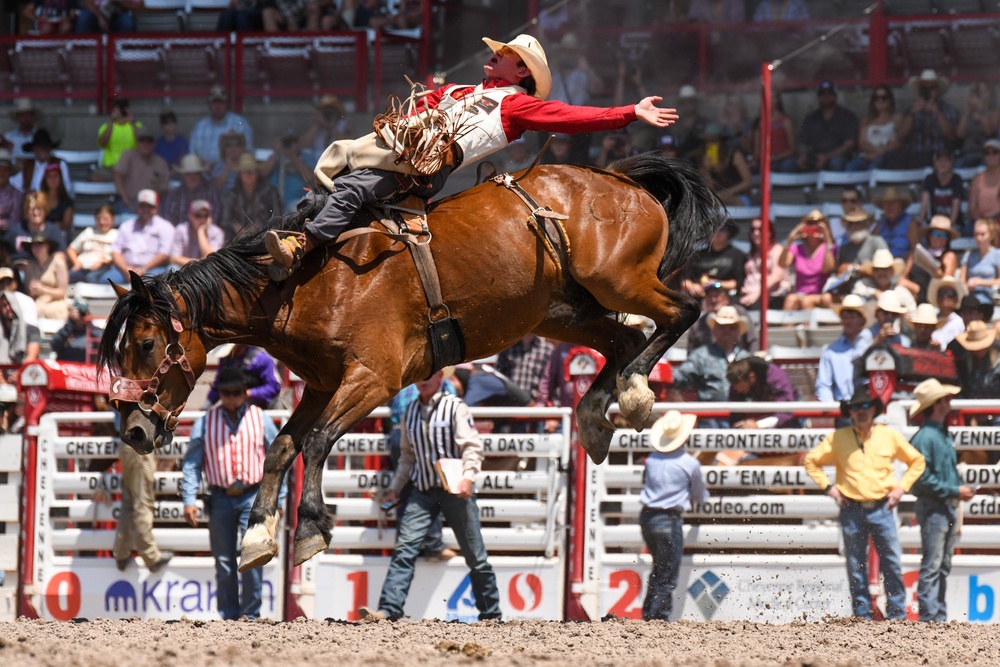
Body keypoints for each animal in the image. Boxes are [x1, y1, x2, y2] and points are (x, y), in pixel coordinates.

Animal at [97, 154, 724, 572]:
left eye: (146, 344)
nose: (133, 428)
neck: (301, 280)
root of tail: (623, 181)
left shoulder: (373, 379)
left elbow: (318, 441)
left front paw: (310, 530)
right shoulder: (322, 384)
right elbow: (282, 446)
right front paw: (256, 539)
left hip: (619, 280)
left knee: (680, 312)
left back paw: (636, 395)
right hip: (563, 312)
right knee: (624, 340)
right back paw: (596, 416)